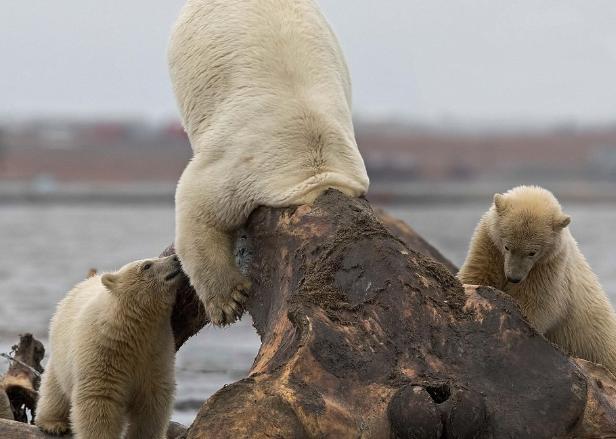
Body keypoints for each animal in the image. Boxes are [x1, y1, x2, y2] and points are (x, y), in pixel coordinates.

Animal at [35, 256, 180, 438]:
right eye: (147, 265)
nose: (175, 258)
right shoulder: (103, 349)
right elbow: (99, 397)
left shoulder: (157, 348)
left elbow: (152, 398)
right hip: (61, 351)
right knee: (54, 388)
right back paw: (53, 423)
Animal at [458, 186, 616, 374]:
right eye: (507, 246)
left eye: (532, 252)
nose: (513, 277)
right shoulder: (489, 245)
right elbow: (479, 273)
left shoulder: (548, 269)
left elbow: (538, 303)